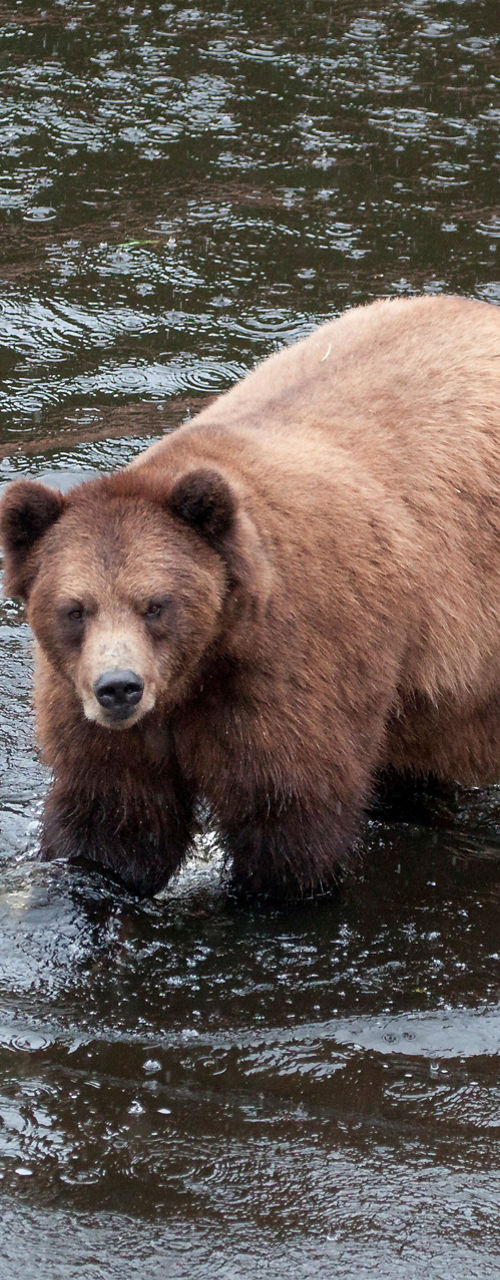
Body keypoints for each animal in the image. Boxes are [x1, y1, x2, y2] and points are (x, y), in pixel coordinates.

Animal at [2, 293, 500, 899]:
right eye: (75, 609)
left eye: (155, 604)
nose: (118, 688)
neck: (198, 670)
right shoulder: (92, 715)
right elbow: (114, 826)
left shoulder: (296, 670)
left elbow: (288, 824)